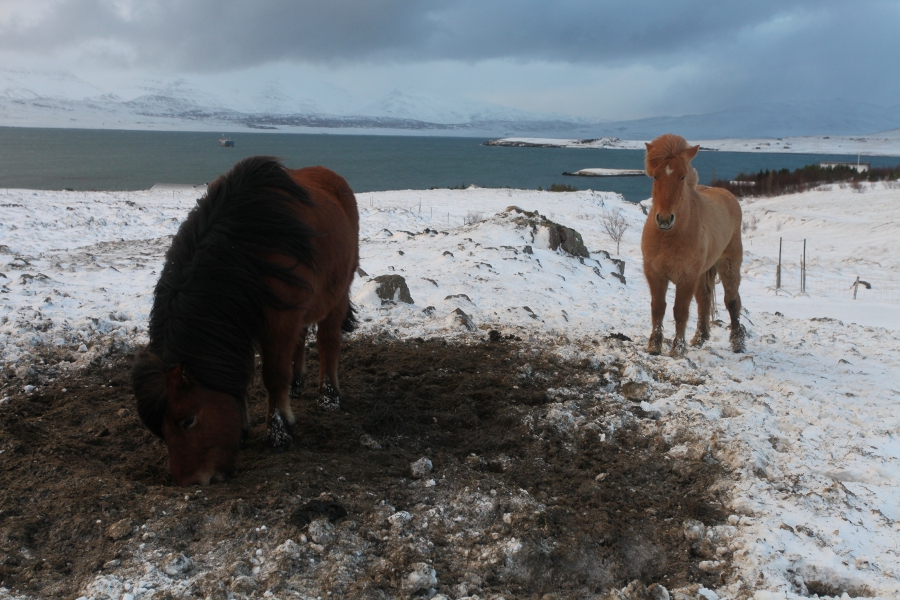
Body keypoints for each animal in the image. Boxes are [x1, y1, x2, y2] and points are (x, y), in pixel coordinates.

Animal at [134, 157, 358, 486]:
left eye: (188, 420)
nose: (194, 482)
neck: (243, 249)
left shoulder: (279, 322)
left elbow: (273, 376)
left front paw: (279, 433)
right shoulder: (248, 321)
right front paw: (244, 427)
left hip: (337, 294)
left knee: (328, 341)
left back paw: (328, 397)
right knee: (301, 339)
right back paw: (297, 385)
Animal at [640, 135, 744, 356]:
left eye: (682, 177)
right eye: (655, 176)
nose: (664, 219)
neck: (669, 237)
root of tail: (728, 195)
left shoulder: (686, 277)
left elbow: (680, 311)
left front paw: (677, 349)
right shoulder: (654, 273)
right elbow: (657, 308)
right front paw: (654, 346)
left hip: (728, 263)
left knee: (732, 301)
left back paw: (738, 342)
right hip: (702, 274)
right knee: (704, 300)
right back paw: (699, 338)